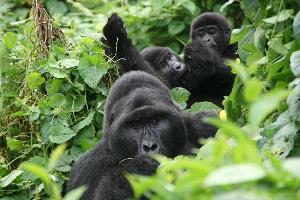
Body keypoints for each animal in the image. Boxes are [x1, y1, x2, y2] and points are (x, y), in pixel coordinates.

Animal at [68, 71, 218, 199]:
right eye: (136, 125)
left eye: (154, 121)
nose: (150, 146)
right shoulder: (87, 167)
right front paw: (137, 170)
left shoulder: (207, 124)